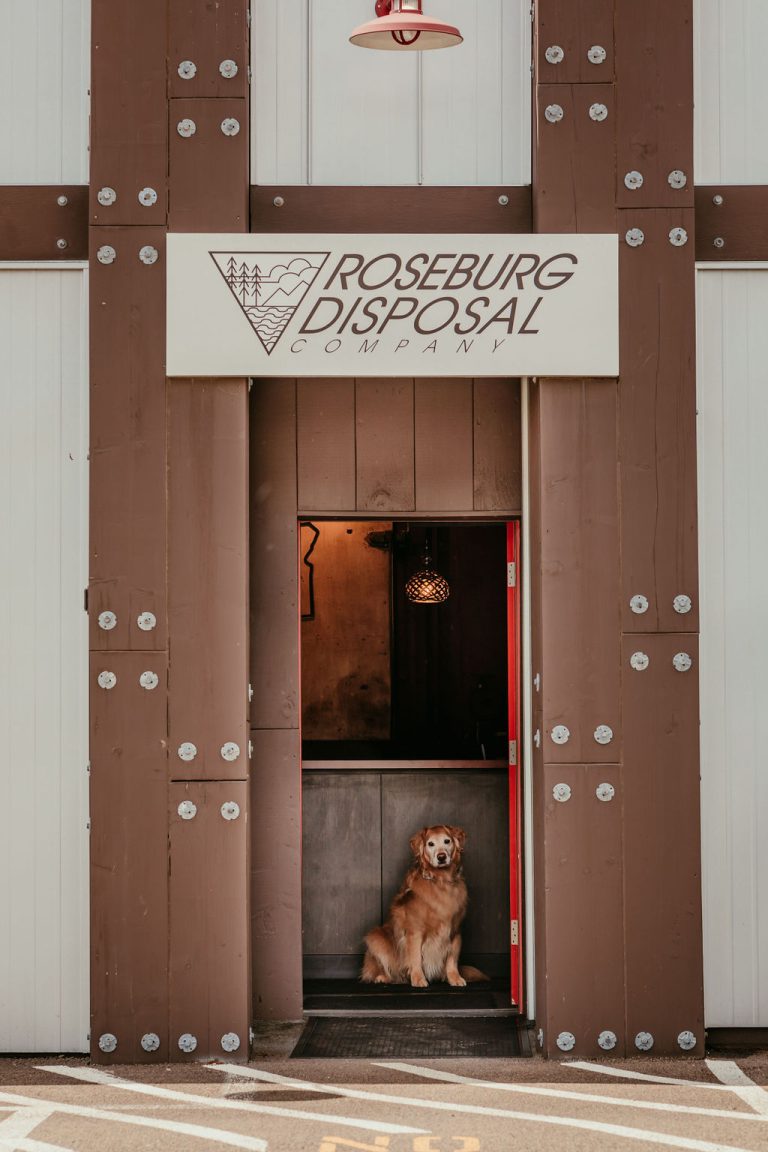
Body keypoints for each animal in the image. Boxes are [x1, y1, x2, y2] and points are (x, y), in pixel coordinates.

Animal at [361, 820, 485, 990]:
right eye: (430, 844)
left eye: (447, 841)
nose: (441, 857)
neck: (440, 881)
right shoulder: (415, 932)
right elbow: (415, 958)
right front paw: (418, 979)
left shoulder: (455, 931)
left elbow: (452, 959)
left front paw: (454, 978)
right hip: (376, 937)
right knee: (384, 968)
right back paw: (383, 977)